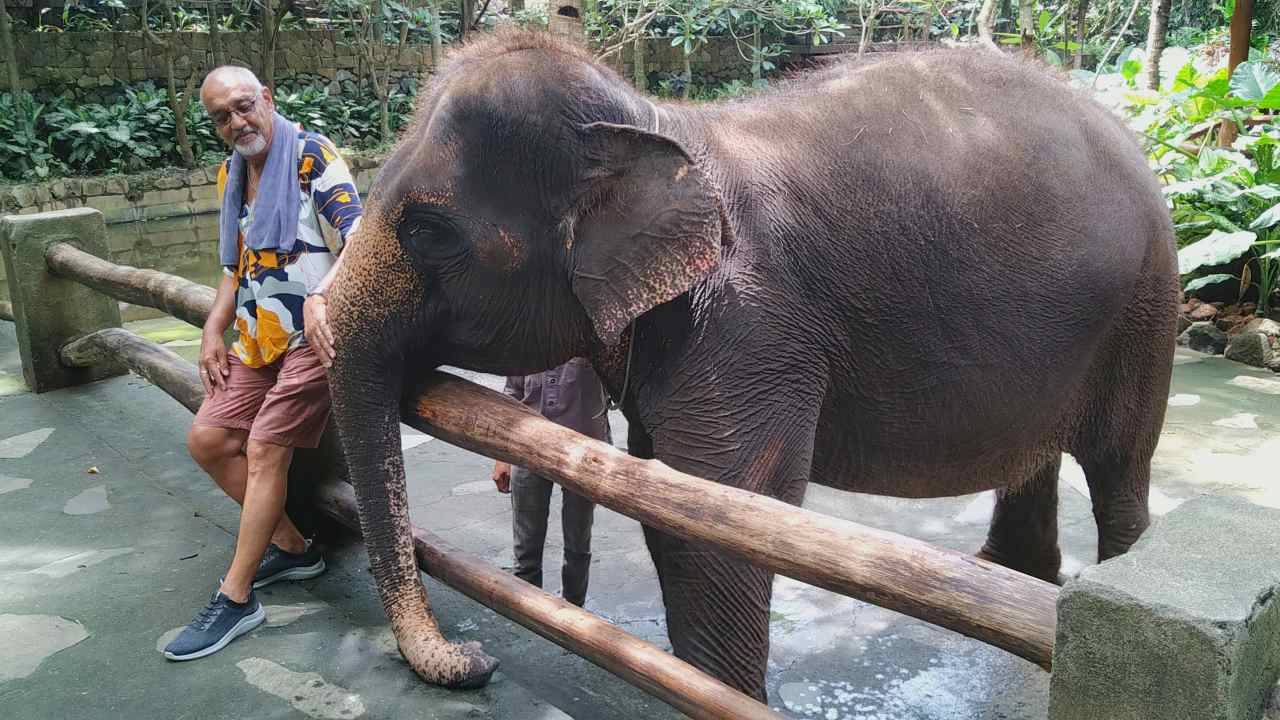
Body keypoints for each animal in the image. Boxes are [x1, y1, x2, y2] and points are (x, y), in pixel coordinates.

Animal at [320, 30, 1177, 696]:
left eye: (427, 232)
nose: (473, 659)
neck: (655, 126)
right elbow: (669, 501)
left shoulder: (750, 327)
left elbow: (725, 514)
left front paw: (726, 693)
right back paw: (1014, 581)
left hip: (1147, 305)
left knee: (1119, 468)